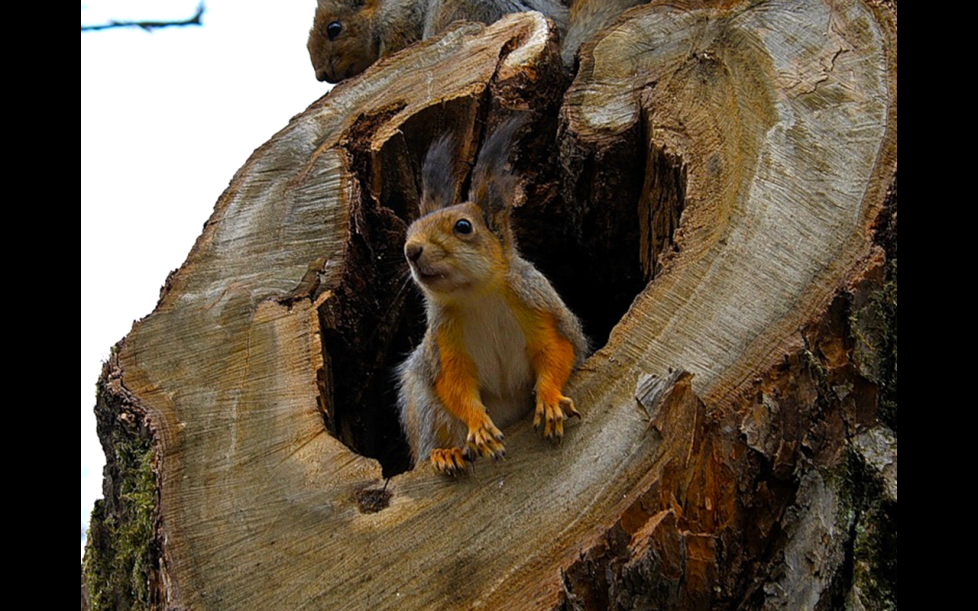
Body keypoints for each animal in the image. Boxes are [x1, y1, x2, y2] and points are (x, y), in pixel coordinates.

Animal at [396, 122, 588, 476]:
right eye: (410, 230)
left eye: (463, 226)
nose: (411, 250)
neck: (477, 296)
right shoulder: (444, 342)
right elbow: (454, 384)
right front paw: (479, 427)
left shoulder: (540, 306)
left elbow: (556, 352)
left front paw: (550, 400)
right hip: (424, 408)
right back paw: (445, 453)